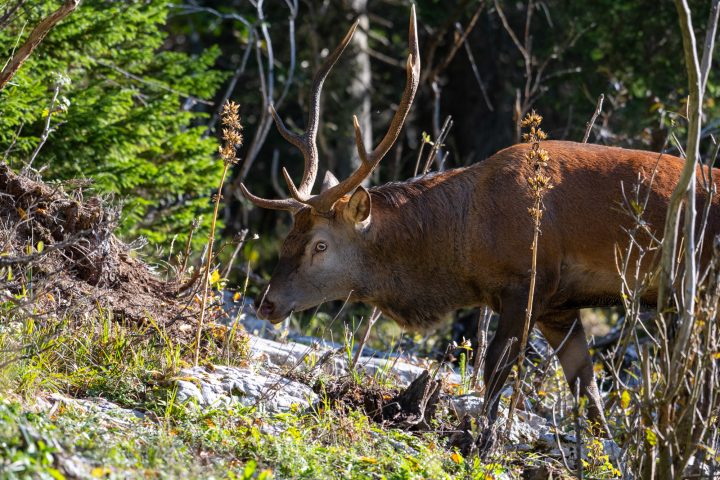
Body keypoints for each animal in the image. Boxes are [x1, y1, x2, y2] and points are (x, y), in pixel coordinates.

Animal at [240, 6, 720, 433]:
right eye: (287, 238)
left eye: (320, 244)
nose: (266, 303)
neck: (466, 245)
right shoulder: (560, 305)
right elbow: (588, 393)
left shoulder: (528, 282)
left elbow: (494, 372)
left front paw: (478, 439)